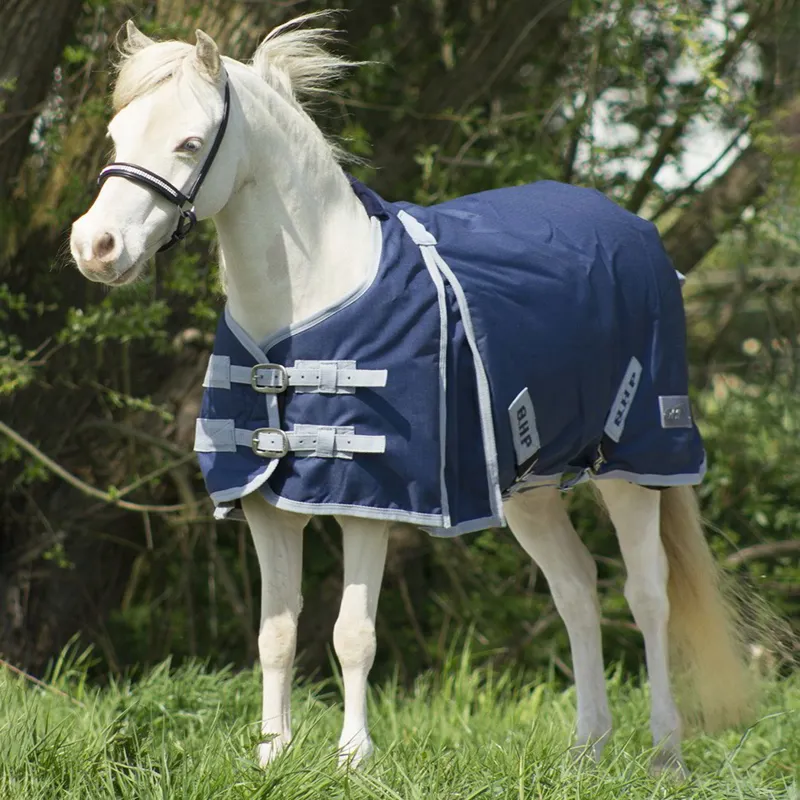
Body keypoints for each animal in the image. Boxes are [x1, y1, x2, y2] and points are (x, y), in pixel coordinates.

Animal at [70, 15, 756, 774]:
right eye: (116, 136)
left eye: (189, 142)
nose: (94, 247)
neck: (308, 302)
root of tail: (638, 233)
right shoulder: (266, 506)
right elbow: (276, 633)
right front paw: (272, 755)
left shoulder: (371, 500)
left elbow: (352, 634)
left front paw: (353, 757)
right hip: (531, 483)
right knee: (575, 588)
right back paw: (586, 749)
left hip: (634, 463)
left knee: (646, 593)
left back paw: (665, 753)